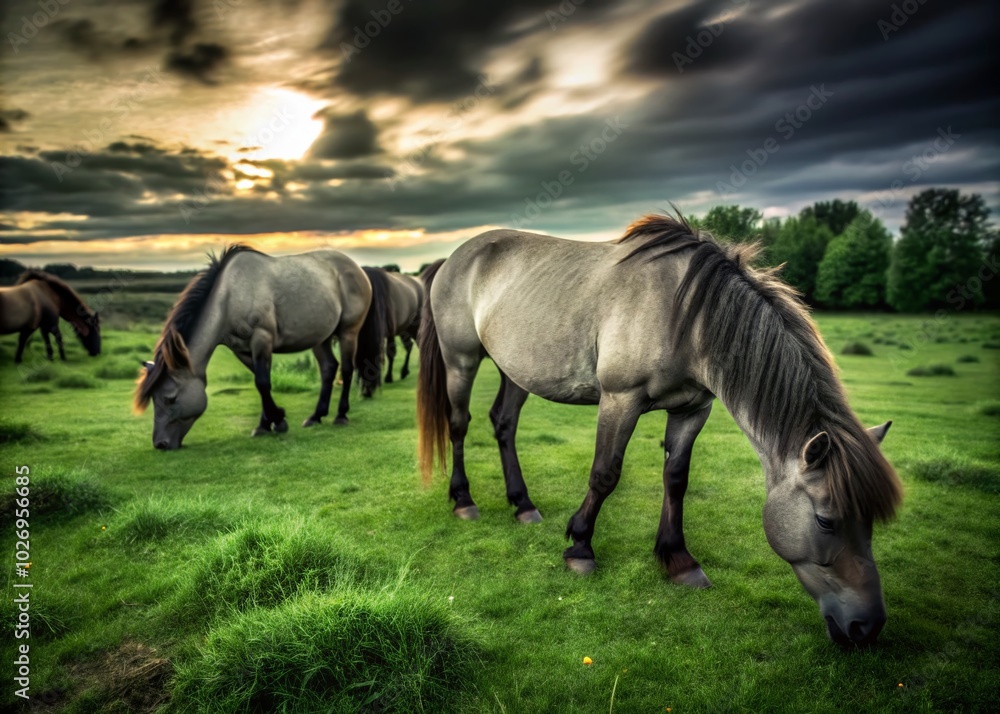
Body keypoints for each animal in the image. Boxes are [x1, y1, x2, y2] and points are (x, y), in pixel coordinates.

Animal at [134, 245, 387, 450]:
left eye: (170, 399)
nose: (160, 444)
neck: (230, 296)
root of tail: (358, 269)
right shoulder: (243, 350)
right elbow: (260, 383)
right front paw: (268, 424)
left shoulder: (262, 339)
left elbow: (263, 382)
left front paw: (278, 420)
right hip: (320, 337)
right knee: (328, 369)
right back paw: (316, 416)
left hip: (348, 333)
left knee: (346, 369)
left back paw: (341, 416)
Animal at [359, 267, 424, 397]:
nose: (367, 392)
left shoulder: (389, 331)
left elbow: (391, 353)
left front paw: (388, 377)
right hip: (405, 329)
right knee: (409, 346)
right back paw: (404, 371)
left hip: (414, 326)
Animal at [416, 214, 903, 648]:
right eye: (825, 520)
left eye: (871, 520)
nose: (868, 626)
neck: (687, 315)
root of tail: (455, 256)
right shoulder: (620, 399)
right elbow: (605, 474)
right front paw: (580, 547)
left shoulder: (693, 410)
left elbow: (676, 478)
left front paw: (678, 559)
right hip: (461, 361)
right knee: (459, 425)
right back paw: (463, 501)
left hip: (516, 371)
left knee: (504, 424)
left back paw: (523, 505)